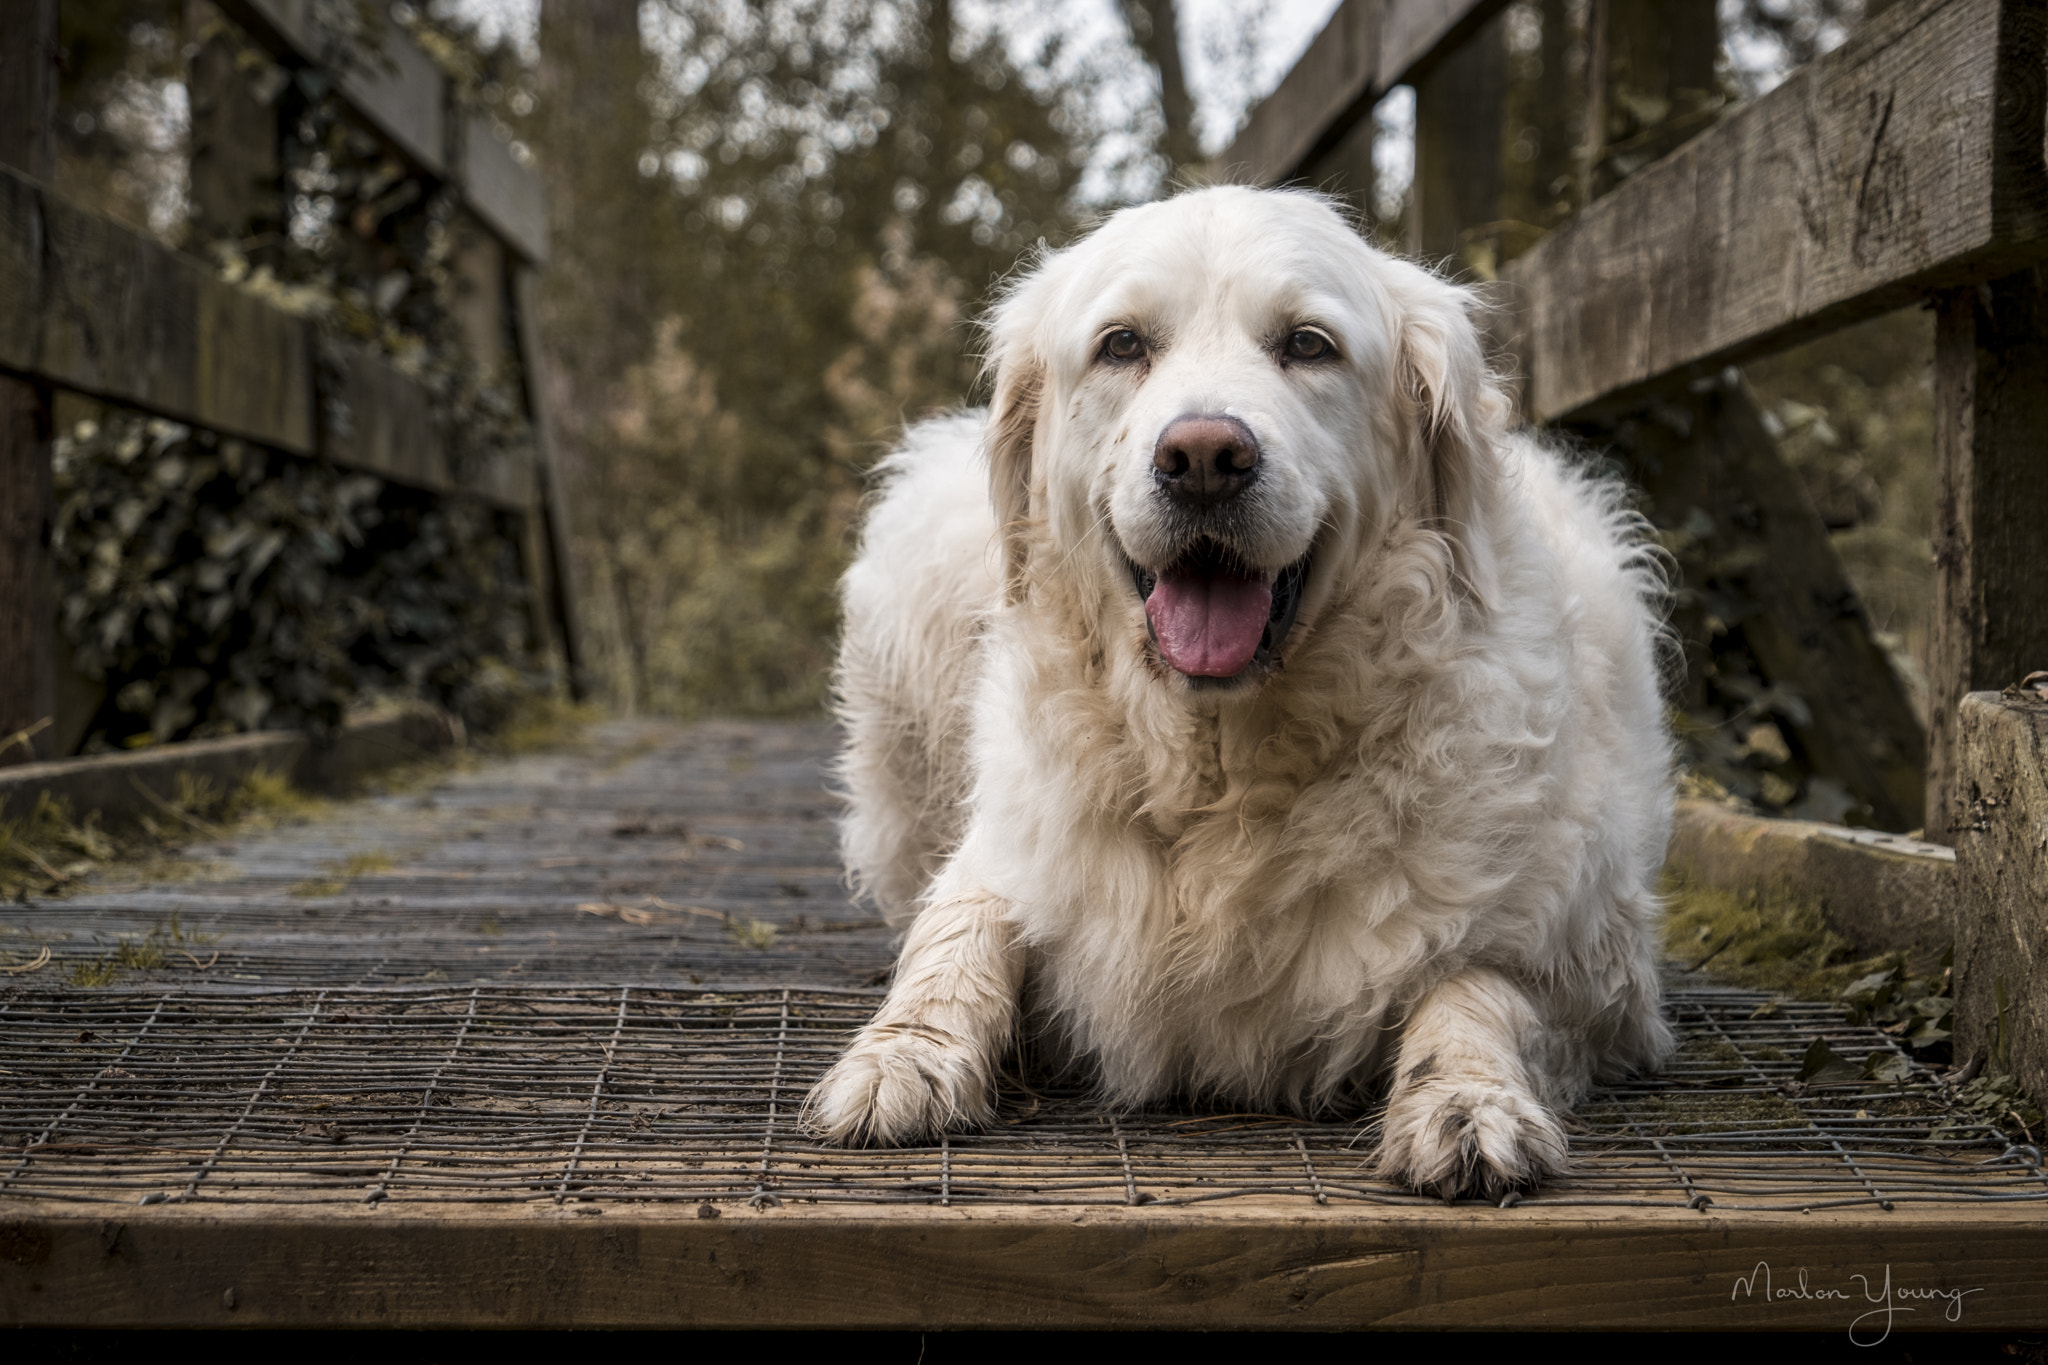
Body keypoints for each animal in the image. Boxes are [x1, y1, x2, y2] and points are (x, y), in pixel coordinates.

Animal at [806, 187, 1671, 1203]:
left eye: (1307, 344)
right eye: (1122, 345)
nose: (1205, 455)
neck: (1219, 772)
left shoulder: (1599, 966)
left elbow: (1479, 986)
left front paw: (1467, 1103)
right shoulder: (1010, 849)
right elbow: (957, 930)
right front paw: (901, 1056)